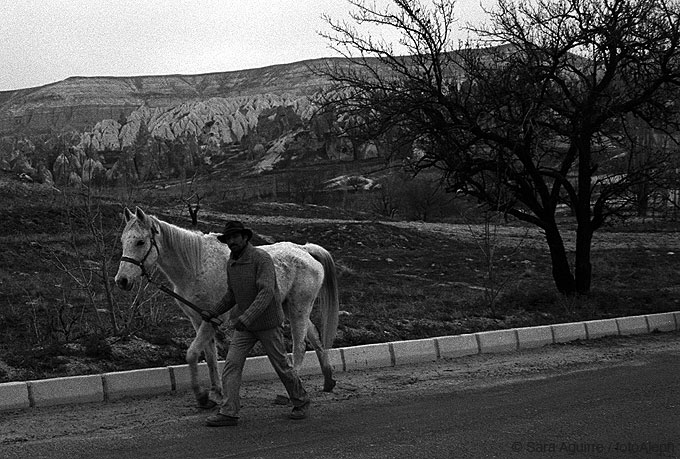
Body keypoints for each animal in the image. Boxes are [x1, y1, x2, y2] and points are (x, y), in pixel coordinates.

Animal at [114, 207, 342, 408]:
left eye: (140, 241)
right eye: (123, 241)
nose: (121, 281)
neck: (196, 266)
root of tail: (304, 249)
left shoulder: (211, 320)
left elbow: (192, 354)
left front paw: (202, 397)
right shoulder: (199, 319)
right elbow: (210, 357)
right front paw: (216, 392)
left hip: (298, 308)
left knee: (300, 346)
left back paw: (292, 388)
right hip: (290, 307)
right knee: (315, 337)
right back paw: (328, 380)